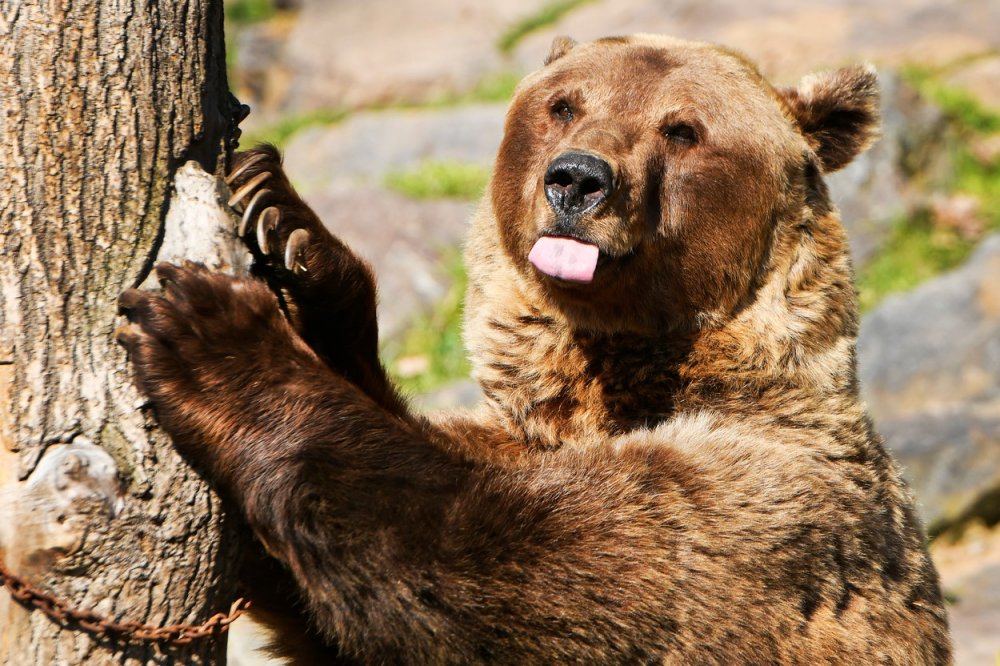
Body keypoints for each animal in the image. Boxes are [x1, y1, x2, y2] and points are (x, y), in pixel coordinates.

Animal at [119, 35, 952, 660]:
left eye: (682, 128)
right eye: (564, 105)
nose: (577, 179)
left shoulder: (763, 509)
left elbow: (486, 562)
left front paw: (209, 331)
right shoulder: (524, 433)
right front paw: (287, 228)